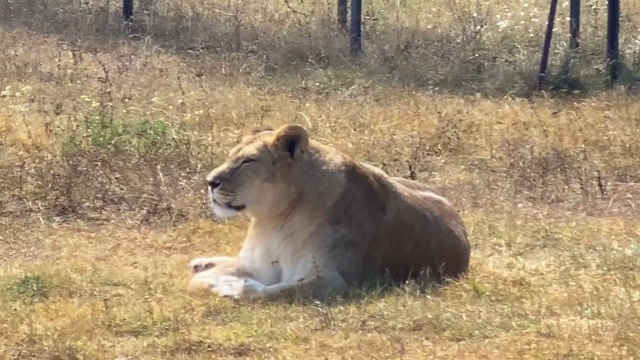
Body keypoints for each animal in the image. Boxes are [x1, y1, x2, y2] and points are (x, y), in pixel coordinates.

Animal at [186, 124, 470, 300]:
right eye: (231, 155)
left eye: (248, 161)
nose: (210, 182)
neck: (274, 221)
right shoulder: (257, 264)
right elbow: (205, 280)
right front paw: (213, 276)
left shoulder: (334, 281)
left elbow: (275, 290)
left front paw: (233, 287)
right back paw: (202, 262)